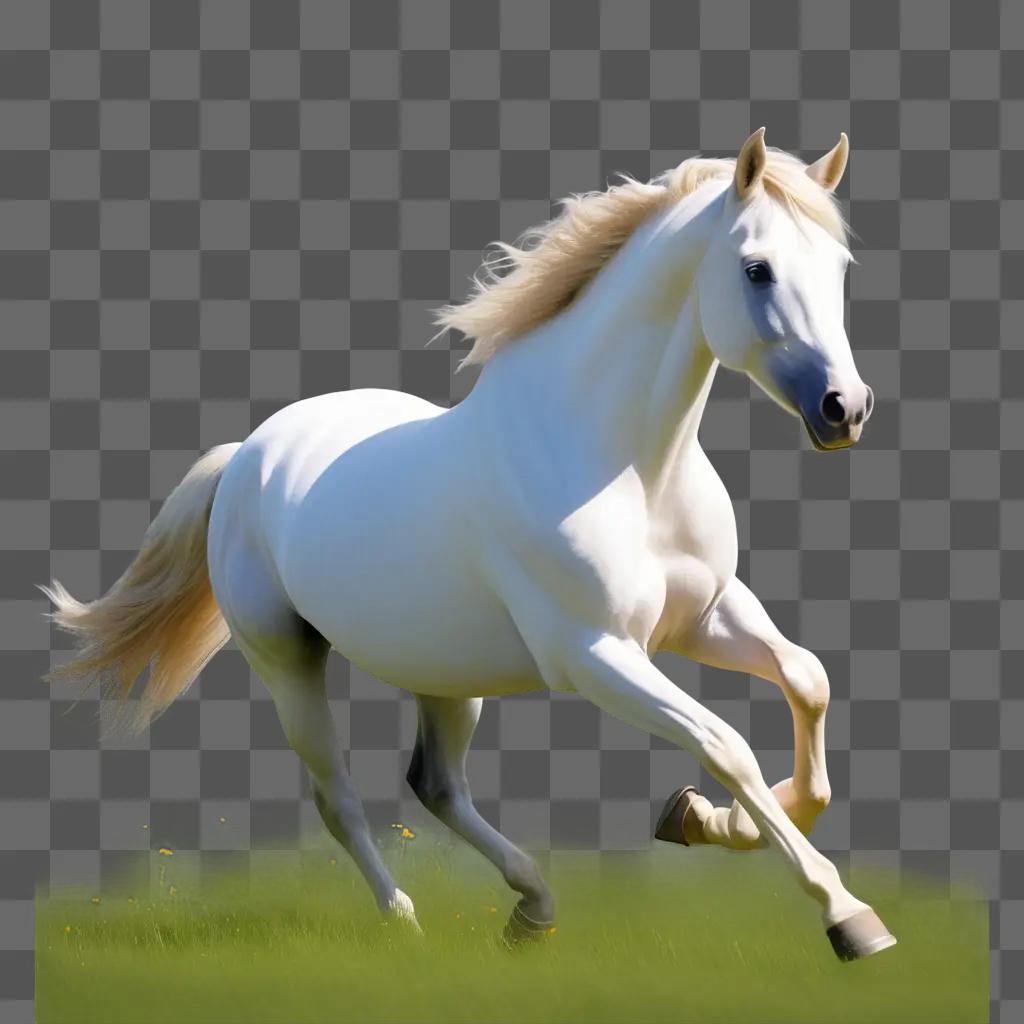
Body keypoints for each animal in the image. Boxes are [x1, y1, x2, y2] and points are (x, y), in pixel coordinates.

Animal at [48, 130, 892, 958]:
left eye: (840, 268)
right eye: (757, 269)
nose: (844, 409)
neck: (624, 467)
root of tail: (247, 455)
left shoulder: (707, 617)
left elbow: (808, 681)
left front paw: (702, 819)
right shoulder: (596, 655)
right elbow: (725, 743)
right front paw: (848, 915)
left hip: (445, 673)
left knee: (437, 784)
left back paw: (533, 908)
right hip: (286, 660)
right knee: (339, 795)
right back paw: (405, 920)